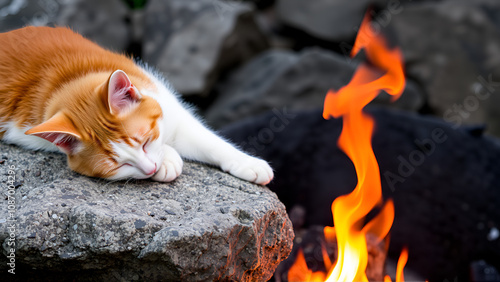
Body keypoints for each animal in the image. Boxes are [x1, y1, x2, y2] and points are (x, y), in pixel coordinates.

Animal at [0, 26, 274, 185]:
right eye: (120, 165)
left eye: (144, 142)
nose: (151, 169)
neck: (66, 80)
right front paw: (167, 160)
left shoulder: (169, 105)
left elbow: (210, 142)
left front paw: (248, 163)